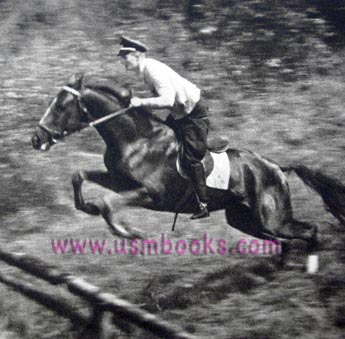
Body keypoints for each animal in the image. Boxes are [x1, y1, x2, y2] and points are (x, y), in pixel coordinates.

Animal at [31, 74, 344, 264]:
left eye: (61, 106)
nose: (36, 139)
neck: (136, 139)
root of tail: (276, 167)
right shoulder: (118, 181)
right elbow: (80, 176)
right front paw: (87, 207)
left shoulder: (150, 194)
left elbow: (108, 204)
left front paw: (130, 233)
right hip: (243, 219)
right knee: (282, 240)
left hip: (271, 217)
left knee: (308, 231)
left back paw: (310, 265)